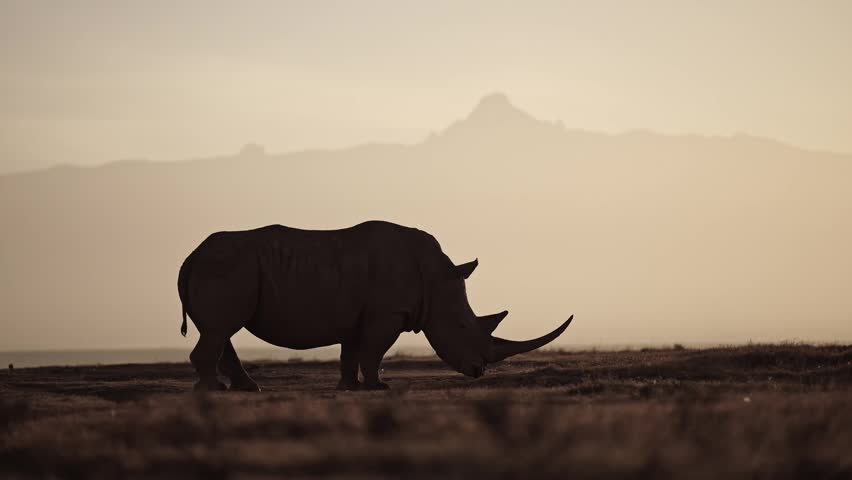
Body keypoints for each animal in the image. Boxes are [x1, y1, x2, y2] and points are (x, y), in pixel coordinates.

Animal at [177, 221, 573, 391]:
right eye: (462, 326)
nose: (479, 371)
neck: (436, 280)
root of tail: (190, 258)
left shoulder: (358, 314)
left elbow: (352, 352)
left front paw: (349, 388)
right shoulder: (388, 313)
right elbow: (374, 351)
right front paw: (378, 387)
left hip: (227, 268)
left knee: (222, 331)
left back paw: (247, 389)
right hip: (226, 267)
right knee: (221, 329)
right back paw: (213, 391)